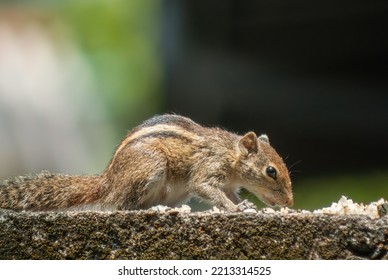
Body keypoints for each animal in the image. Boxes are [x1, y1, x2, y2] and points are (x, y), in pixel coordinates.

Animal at [0, 115, 292, 211]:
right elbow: (206, 188)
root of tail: (108, 180)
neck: (230, 155)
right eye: (271, 171)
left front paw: (244, 205)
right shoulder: (208, 169)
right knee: (121, 204)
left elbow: (229, 194)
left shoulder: (229, 184)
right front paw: (234, 208)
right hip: (151, 168)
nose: (290, 202)